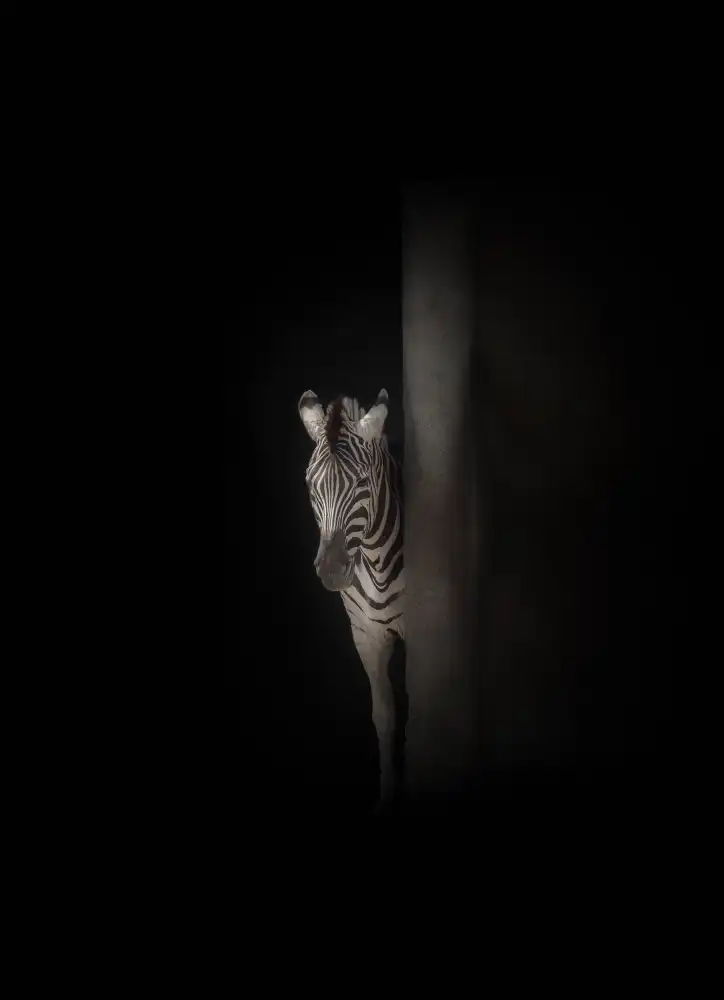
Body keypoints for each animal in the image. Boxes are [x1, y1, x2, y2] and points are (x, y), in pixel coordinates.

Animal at [298, 388, 405, 813]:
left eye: (361, 483)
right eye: (310, 485)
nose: (330, 571)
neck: (375, 560)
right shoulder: (365, 634)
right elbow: (384, 716)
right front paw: (387, 797)